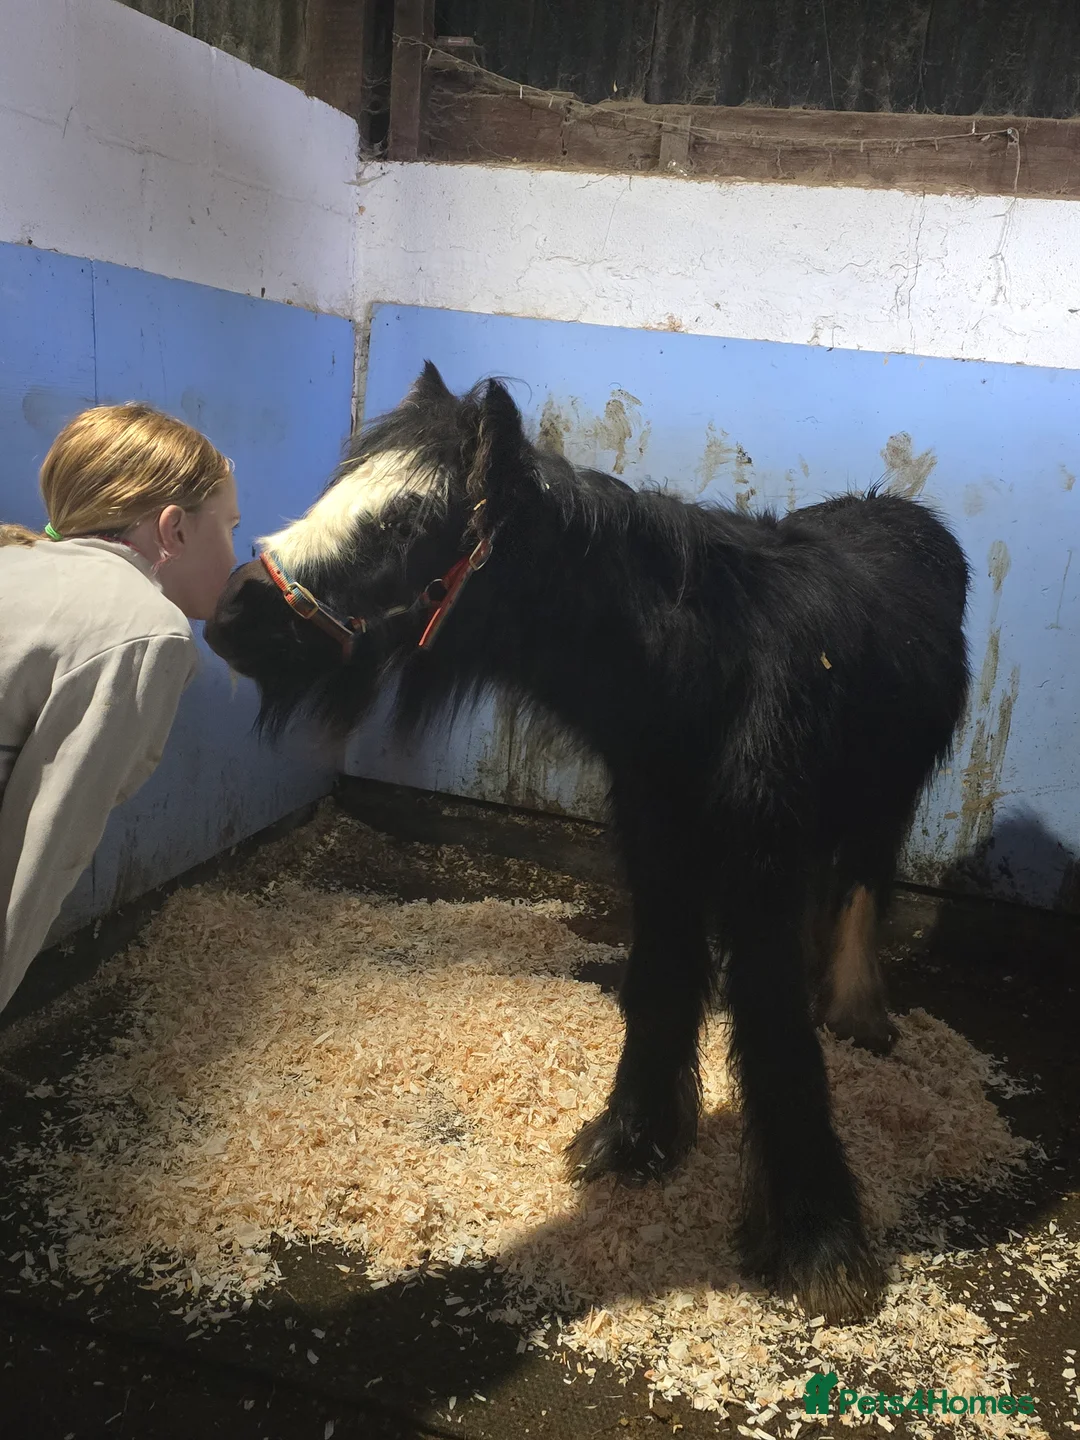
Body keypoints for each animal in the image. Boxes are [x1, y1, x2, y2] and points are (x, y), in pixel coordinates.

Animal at [206, 362, 970, 1320]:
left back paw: (861, 1010)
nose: (231, 611)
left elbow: (773, 1026)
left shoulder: (760, 873)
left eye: (406, 524)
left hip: (888, 798)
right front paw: (634, 1138)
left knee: (865, 878)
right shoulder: (659, 851)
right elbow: (661, 984)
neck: (708, 678)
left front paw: (817, 1239)